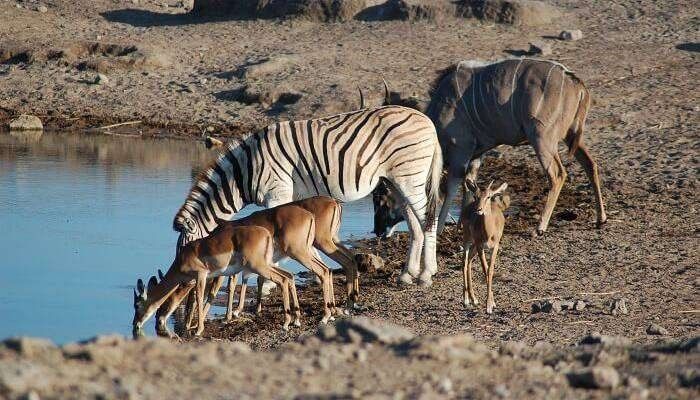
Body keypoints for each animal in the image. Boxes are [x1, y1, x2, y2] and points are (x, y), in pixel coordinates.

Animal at [132, 223, 298, 336]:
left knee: (282, 280)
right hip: (267, 264)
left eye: (137, 305)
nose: (135, 324)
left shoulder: (201, 275)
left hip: (258, 266)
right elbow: (201, 298)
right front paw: (193, 327)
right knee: (289, 276)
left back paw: (286, 323)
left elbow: (199, 298)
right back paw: (296, 320)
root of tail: (266, 234)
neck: (182, 259)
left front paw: (198, 330)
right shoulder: (200, 279)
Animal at [174, 105, 442, 288]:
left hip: (410, 177)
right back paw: (407, 274)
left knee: (428, 219)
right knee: (415, 225)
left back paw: (427, 274)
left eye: (185, 253)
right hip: (397, 182)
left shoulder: (277, 191)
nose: (181, 282)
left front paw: (268, 283)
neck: (245, 171)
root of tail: (427, 121)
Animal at [462, 180, 512, 314]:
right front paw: (489, 305)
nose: (478, 209)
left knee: (469, 259)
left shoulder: (494, 247)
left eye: (489, 196)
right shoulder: (481, 246)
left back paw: (474, 299)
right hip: (468, 239)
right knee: (464, 261)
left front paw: (491, 303)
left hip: (474, 244)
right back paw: (466, 300)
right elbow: (485, 270)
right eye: (475, 196)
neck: (489, 232)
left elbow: (490, 271)